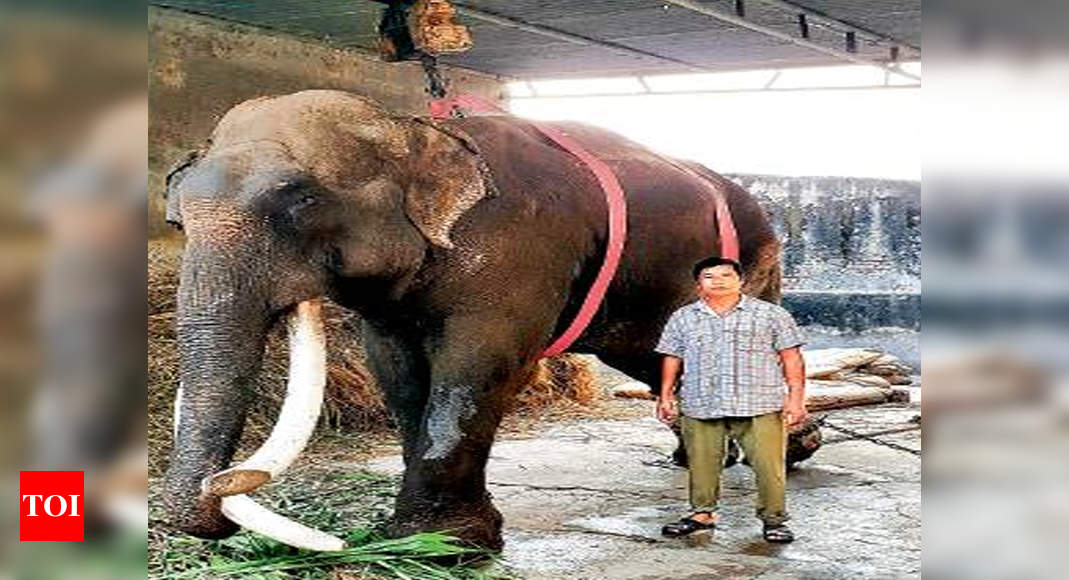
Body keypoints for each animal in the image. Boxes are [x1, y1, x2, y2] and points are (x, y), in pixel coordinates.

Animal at [164, 88, 786, 551]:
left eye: (299, 199)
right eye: (177, 219)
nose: (217, 502)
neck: (414, 130)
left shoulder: (515, 250)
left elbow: (477, 363)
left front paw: (446, 544)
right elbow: (397, 369)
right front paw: (417, 539)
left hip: (749, 265)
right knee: (653, 358)